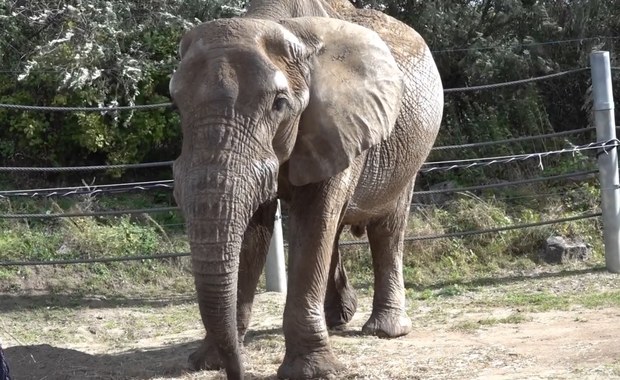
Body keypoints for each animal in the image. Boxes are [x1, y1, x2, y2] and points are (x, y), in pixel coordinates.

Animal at [168, 1, 440, 378]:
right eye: (177, 104)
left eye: (280, 104)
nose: (237, 372)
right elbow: (255, 229)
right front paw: (207, 362)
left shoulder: (340, 123)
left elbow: (313, 222)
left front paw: (313, 371)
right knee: (336, 229)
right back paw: (337, 318)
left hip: (410, 156)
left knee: (385, 228)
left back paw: (384, 330)